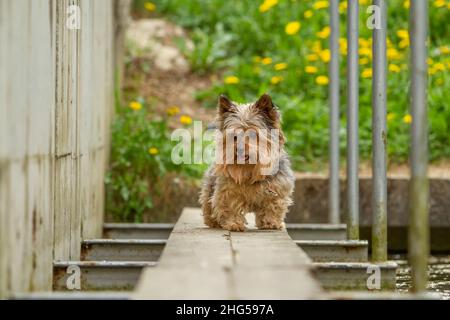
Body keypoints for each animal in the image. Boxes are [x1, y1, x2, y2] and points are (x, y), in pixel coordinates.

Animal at [200, 94, 296, 231]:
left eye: (253, 135)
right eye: (234, 137)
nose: (239, 149)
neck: (249, 169)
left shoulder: (278, 189)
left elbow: (273, 206)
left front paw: (271, 223)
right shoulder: (228, 191)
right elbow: (229, 206)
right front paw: (234, 224)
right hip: (210, 185)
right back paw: (213, 221)